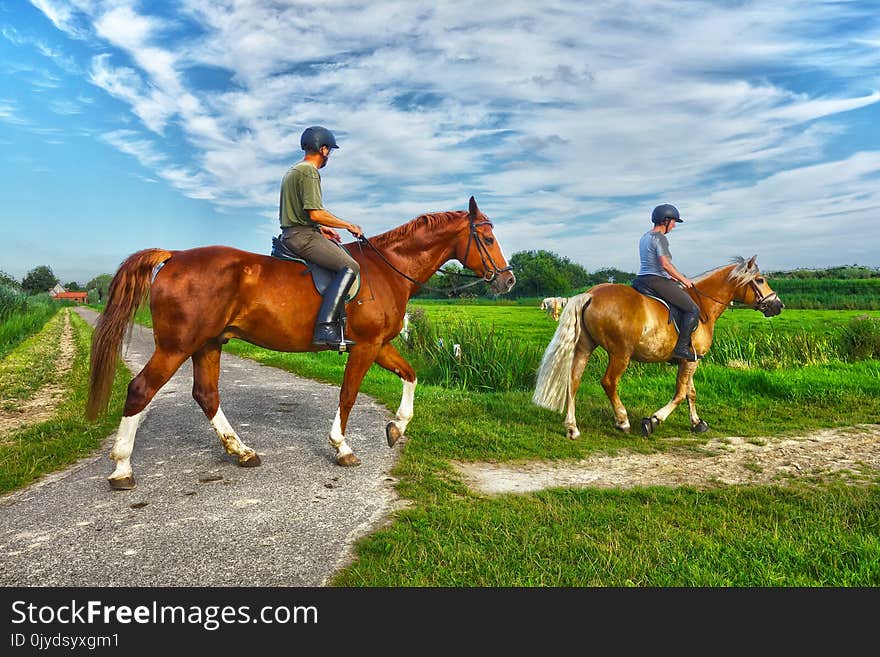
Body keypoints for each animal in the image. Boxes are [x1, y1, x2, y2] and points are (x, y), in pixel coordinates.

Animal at [87, 197, 516, 490]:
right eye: (488, 237)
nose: (508, 280)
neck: (388, 270)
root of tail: (174, 256)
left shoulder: (379, 345)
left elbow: (410, 376)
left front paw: (397, 427)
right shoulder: (365, 346)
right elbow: (348, 394)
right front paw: (342, 447)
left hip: (208, 344)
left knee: (206, 394)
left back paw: (242, 452)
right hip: (176, 347)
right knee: (140, 390)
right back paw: (122, 468)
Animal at [528, 256, 784, 440]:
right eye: (760, 280)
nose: (778, 305)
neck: (703, 306)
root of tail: (590, 294)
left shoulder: (690, 359)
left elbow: (690, 392)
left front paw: (697, 423)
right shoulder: (691, 359)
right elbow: (680, 393)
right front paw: (653, 421)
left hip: (584, 348)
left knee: (573, 381)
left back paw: (573, 428)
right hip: (620, 354)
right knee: (609, 382)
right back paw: (623, 421)